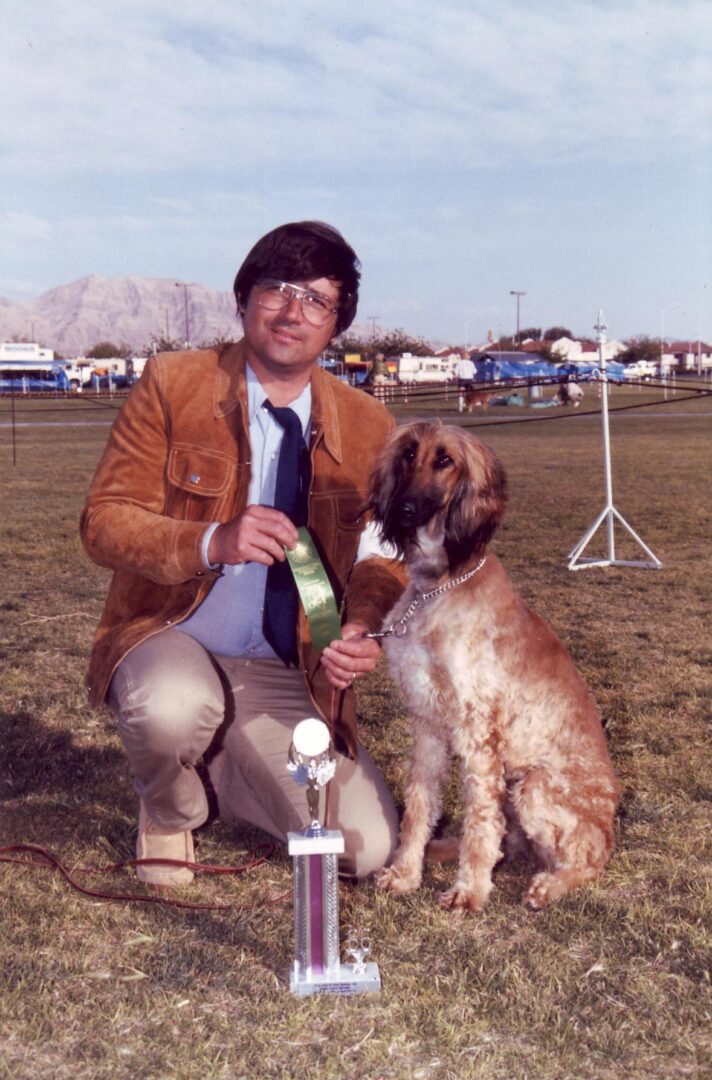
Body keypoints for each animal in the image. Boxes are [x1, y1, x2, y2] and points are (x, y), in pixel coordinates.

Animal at [369, 421, 622, 911]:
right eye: (408, 454)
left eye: (445, 460)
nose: (404, 510)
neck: (440, 585)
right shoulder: (426, 720)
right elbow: (419, 804)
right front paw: (406, 873)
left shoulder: (478, 728)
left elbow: (480, 819)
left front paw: (468, 891)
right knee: (514, 842)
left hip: (532, 787)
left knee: (587, 856)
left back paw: (548, 886)